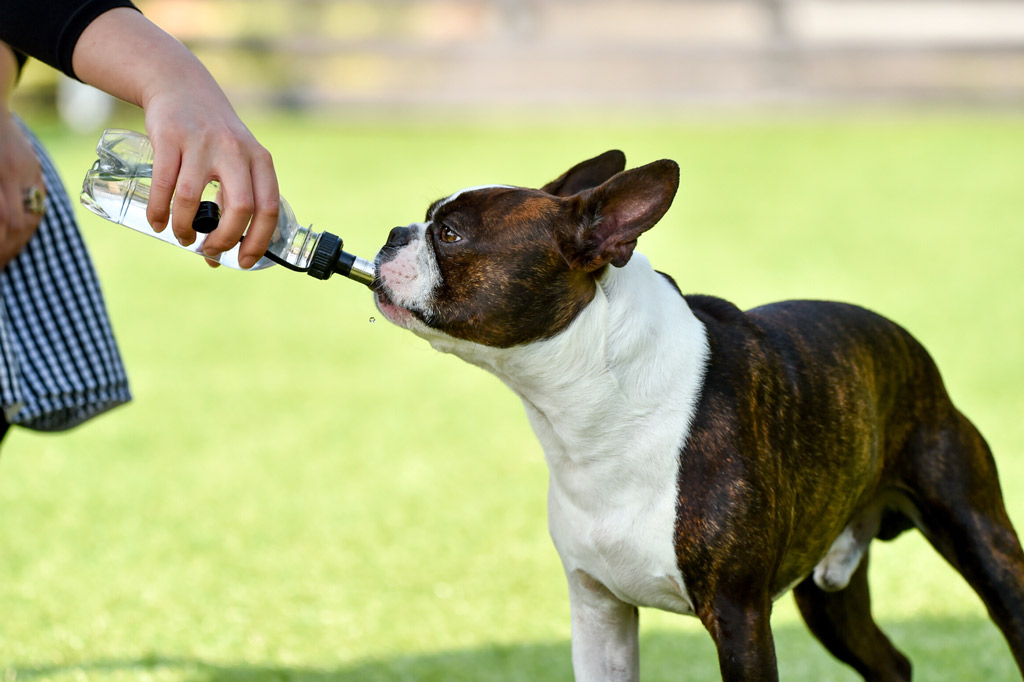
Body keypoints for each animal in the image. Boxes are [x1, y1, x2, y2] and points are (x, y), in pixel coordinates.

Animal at [370, 151, 1024, 675]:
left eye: (449, 234)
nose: (394, 233)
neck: (593, 402)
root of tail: (912, 350)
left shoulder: (740, 618)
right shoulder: (599, 612)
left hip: (979, 538)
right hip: (828, 596)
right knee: (891, 663)